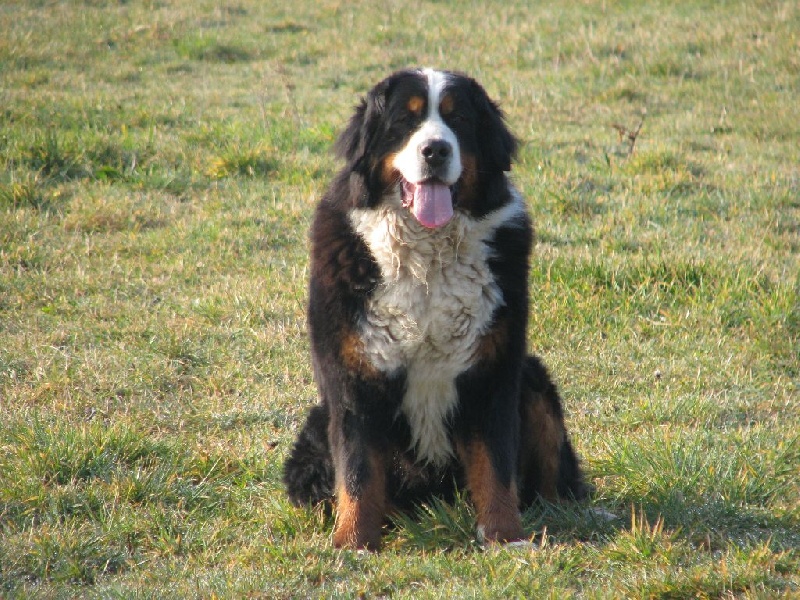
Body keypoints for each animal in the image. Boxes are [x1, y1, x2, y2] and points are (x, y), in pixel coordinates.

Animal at [284, 68, 584, 552]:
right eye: (405, 121)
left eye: (458, 119)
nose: (436, 150)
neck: (427, 260)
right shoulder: (352, 376)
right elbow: (357, 470)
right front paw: (353, 542)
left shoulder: (494, 371)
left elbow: (496, 465)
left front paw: (504, 537)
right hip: (317, 426)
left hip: (533, 380)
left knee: (556, 483)